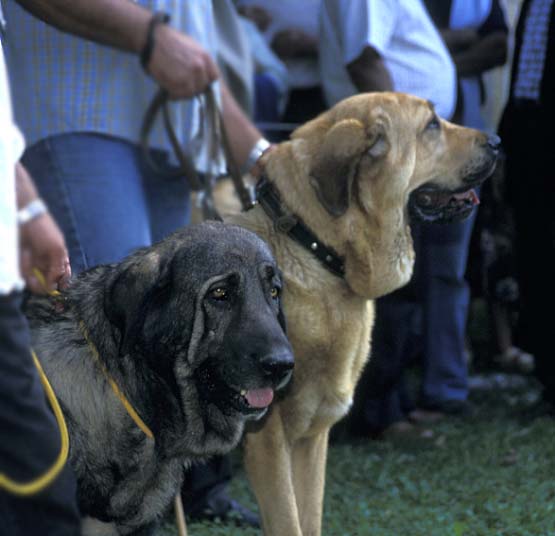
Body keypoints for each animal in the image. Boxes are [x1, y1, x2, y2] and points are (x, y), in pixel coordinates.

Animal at [226, 90, 500, 532]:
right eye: (431, 125)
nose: (497, 141)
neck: (315, 247)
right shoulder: (270, 440)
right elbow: (289, 522)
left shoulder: (309, 439)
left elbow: (309, 520)